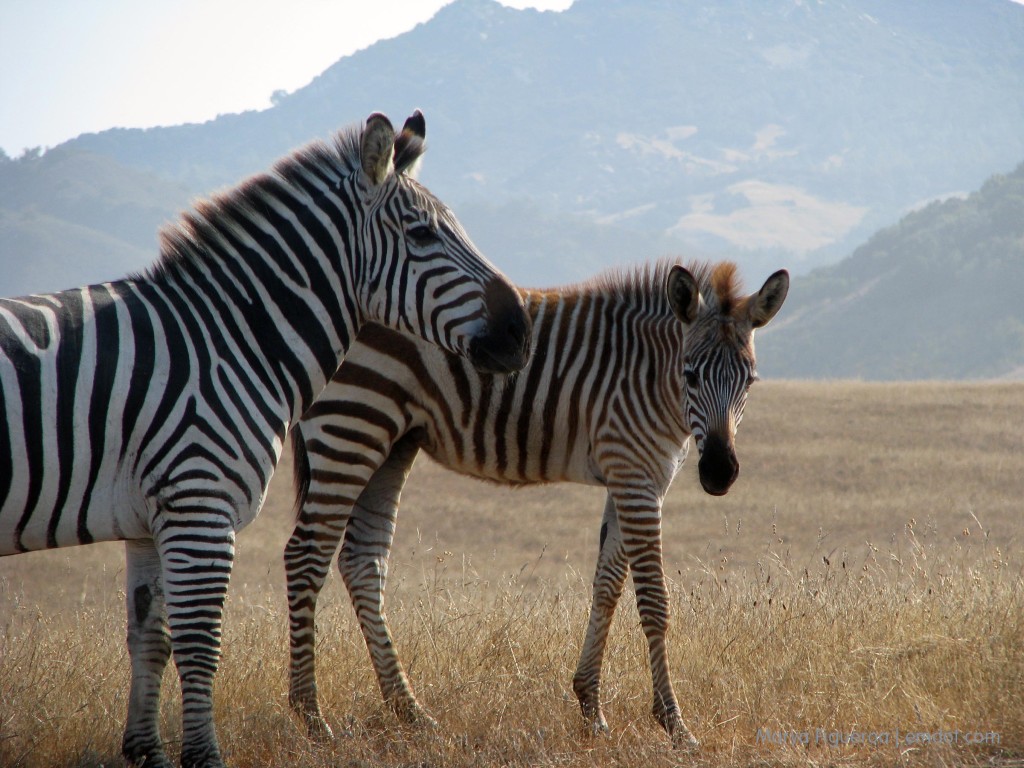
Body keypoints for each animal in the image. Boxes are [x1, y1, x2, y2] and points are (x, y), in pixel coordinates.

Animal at [0, 109, 528, 768]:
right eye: (424, 235)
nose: (521, 331)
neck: (229, 341)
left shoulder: (150, 518)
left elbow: (151, 636)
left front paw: (147, 753)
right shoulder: (200, 506)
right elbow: (200, 642)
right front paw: (205, 757)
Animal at [284, 259, 786, 753]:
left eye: (750, 381)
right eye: (691, 374)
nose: (719, 472)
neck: (651, 378)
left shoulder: (632, 476)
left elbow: (607, 586)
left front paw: (590, 707)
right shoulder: (636, 476)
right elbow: (654, 602)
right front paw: (674, 724)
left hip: (390, 442)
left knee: (361, 562)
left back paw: (409, 712)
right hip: (352, 425)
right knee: (305, 556)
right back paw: (311, 717)